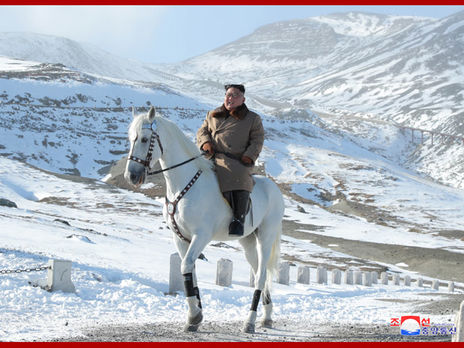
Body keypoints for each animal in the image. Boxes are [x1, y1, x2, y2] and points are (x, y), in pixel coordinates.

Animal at [124, 106, 282, 334]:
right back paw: (267, 316)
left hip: (265, 238)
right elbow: (189, 270)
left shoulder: (201, 236)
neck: (183, 185)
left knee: (261, 276)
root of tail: (274, 189)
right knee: (260, 274)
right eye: (131, 139)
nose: (131, 176)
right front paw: (196, 316)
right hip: (248, 241)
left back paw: (250, 322)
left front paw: (193, 316)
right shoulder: (180, 238)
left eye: (145, 139)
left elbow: (185, 267)